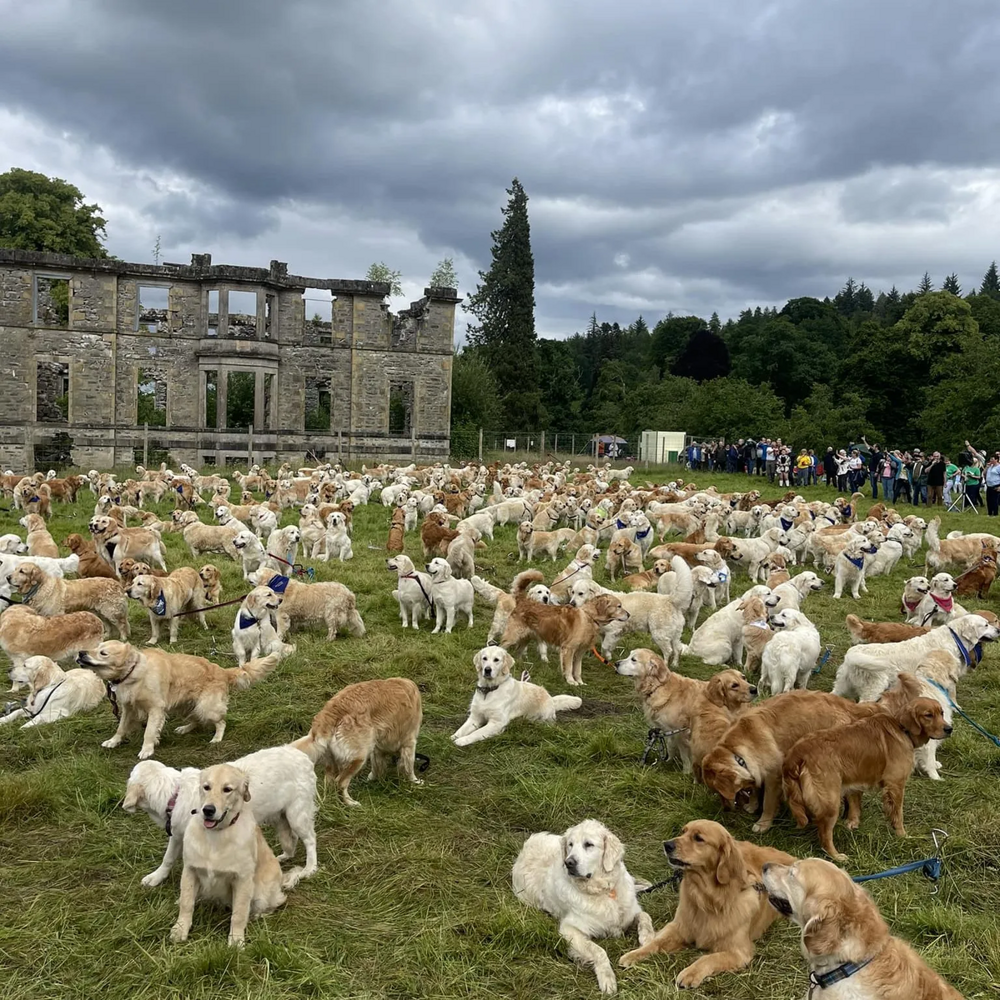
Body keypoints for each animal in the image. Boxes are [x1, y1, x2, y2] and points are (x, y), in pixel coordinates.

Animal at [122, 744, 316, 892]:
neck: (174, 794)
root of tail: (302, 756)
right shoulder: (177, 835)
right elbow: (167, 858)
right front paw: (156, 877)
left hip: (297, 814)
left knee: (310, 840)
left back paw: (310, 869)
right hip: (280, 816)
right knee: (291, 840)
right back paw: (283, 857)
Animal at [450, 644, 584, 748]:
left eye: (496, 660)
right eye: (484, 658)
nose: (487, 670)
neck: (489, 690)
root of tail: (550, 697)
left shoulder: (497, 723)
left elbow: (476, 733)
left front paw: (462, 740)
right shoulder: (475, 717)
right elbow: (462, 729)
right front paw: (453, 737)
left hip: (545, 716)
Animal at [512, 820, 652, 992]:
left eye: (588, 844)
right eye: (571, 845)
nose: (568, 863)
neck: (603, 890)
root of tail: (525, 847)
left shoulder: (630, 913)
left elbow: (645, 917)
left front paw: (647, 938)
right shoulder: (569, 929)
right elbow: (598, 950)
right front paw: (607, 978)